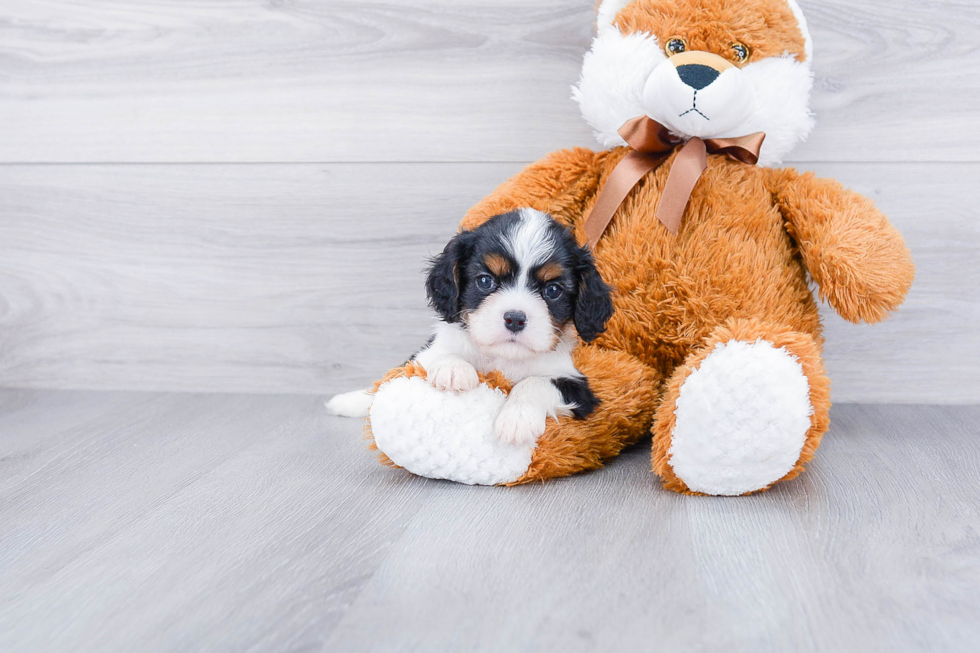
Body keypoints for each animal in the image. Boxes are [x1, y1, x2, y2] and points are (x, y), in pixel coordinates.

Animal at [330, 209, 612, 448]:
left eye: (553, 290)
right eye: (485, 281)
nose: (515, 319)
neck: (501, 356)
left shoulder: (579, 390)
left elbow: (535, 382)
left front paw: (516, 419)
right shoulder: (427, 354)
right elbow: (438, 355)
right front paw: (454, 370)